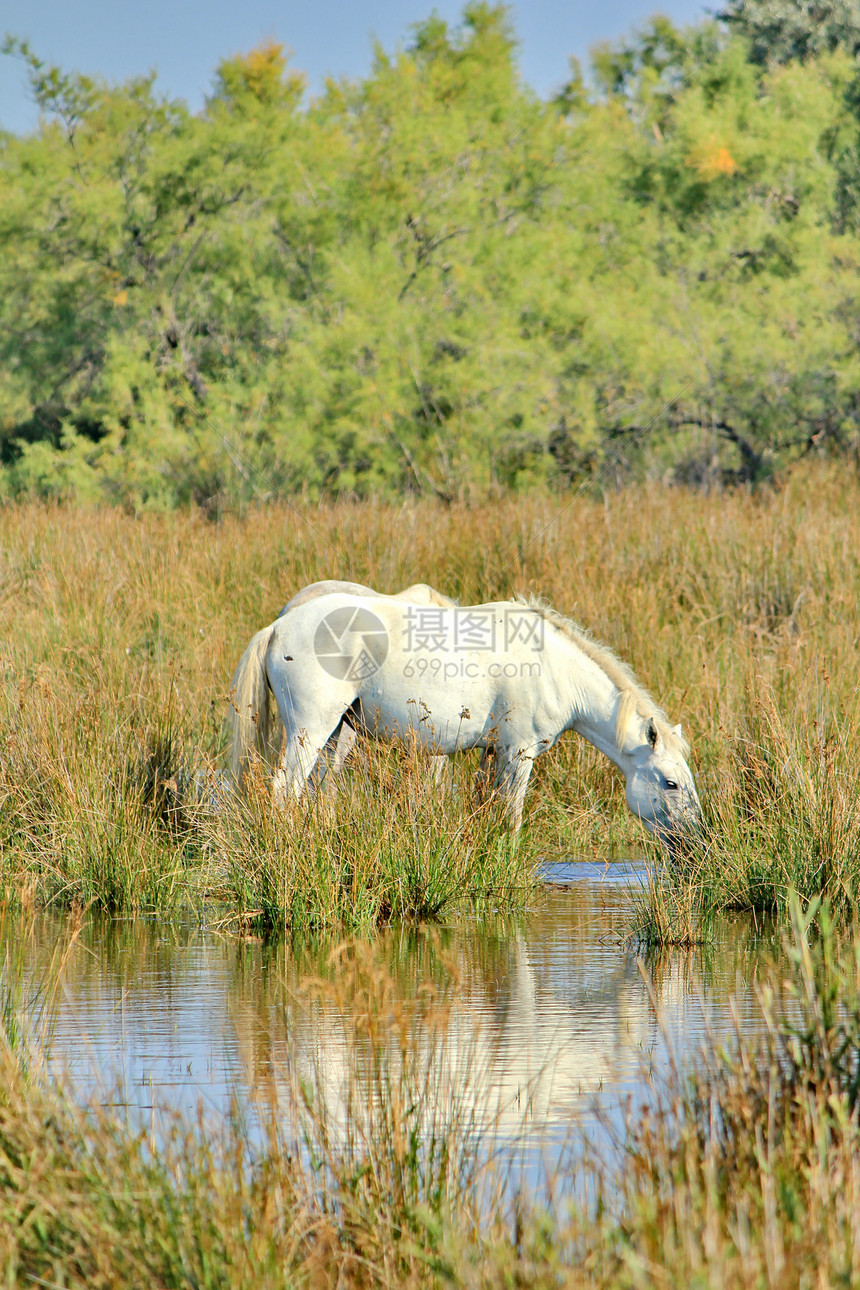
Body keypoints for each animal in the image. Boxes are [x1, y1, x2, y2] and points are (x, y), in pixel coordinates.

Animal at [226, 590, 701, 841]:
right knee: (285, 790)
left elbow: (486, 810)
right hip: (311, 730)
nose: (697, 837)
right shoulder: (519, 754)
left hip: (335, 735)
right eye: (670, 783)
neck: (552, 666)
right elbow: (511, 815)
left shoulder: (492, 753)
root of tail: (278, 627)